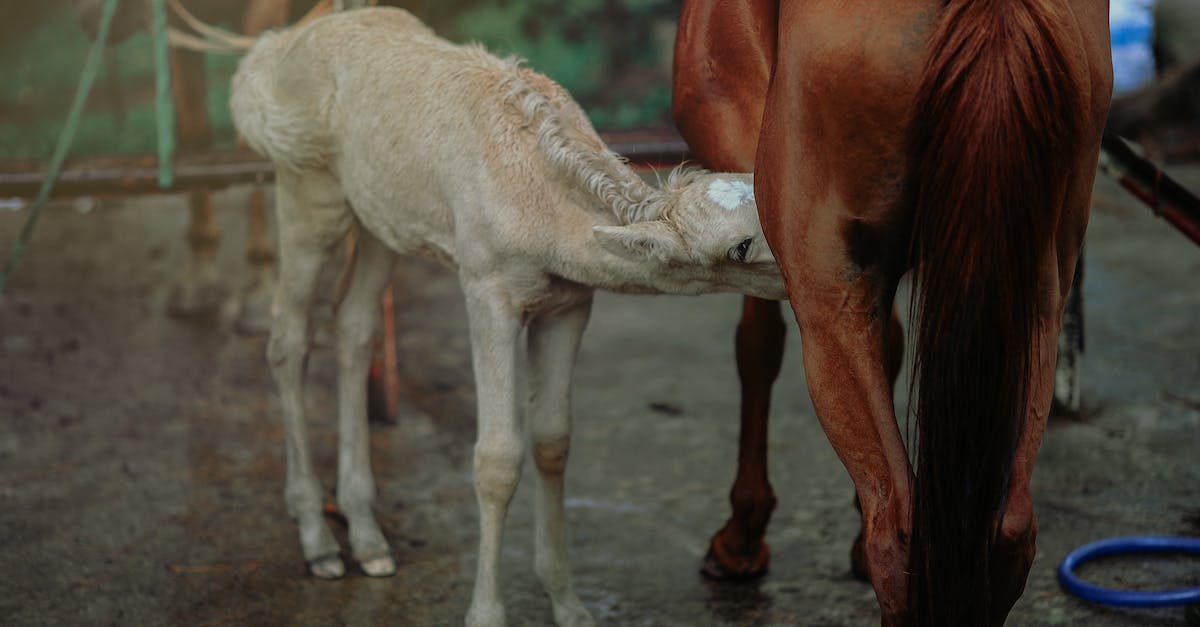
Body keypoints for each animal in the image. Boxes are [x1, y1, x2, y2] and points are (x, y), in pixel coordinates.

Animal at [230, 8, 785, 626]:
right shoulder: (486, 289)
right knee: (288, 336)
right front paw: (486, 611)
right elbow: (496, 457)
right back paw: (318, 541)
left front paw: (569, 604)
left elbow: (552, 440)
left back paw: (369, 538)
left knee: (355, 325)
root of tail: (269, 54)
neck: (542, 212)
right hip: (306, 191)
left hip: (379, 220)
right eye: (739, 246)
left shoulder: (570, 303)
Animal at [673, 1, 1112, 625]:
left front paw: (741, 535)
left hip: (825, 294)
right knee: (1007, 533)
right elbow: (890, 346)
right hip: (1038, 296)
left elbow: (757, 344)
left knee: (899, 540)